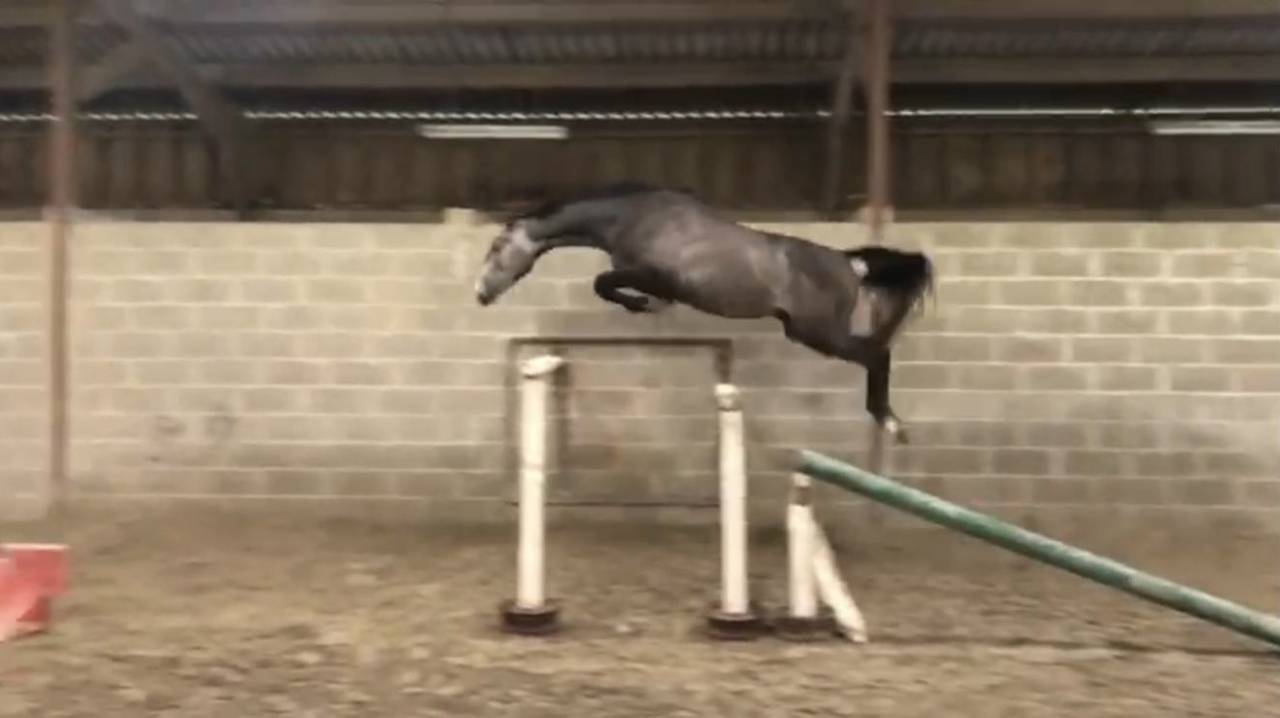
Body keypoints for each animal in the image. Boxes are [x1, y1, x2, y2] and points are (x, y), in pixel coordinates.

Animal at [473, 182, 934, 443]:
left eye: (496, 248)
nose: (480, 294)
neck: (631, 216)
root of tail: (849, 264)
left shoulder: (653, 275)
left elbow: (603, 283)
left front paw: (640, 305)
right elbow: (610, 285)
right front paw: (646, 306)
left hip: (818, 333)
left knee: (877, 355)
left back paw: (890, 422)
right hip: (808, 331)